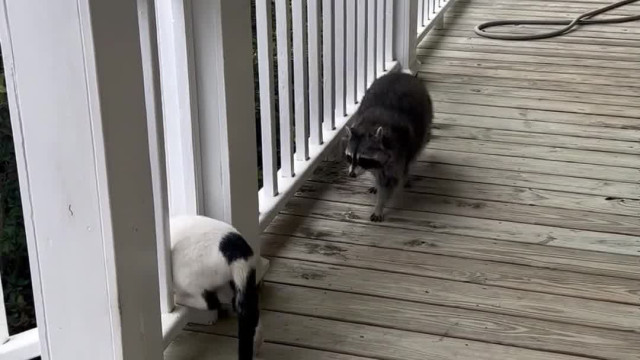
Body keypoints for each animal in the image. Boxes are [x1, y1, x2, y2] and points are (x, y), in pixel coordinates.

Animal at [170, 214, 262, 360]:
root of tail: (236, 249)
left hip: (184, 276)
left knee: (211, 302)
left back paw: (178, 298)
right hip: (238, 284)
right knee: (248, 310)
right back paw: (257, 343)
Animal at [344, 71, 436, 221]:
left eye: (362, 159)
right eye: (349, 157)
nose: (352, 175)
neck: (369, 125)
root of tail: (403, 74)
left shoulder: (398, 150)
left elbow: (389, 182)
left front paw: (379, 205)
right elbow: (378, 175)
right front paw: (376, 184)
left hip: (424, 120)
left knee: (414, 153)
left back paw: (406, 175)